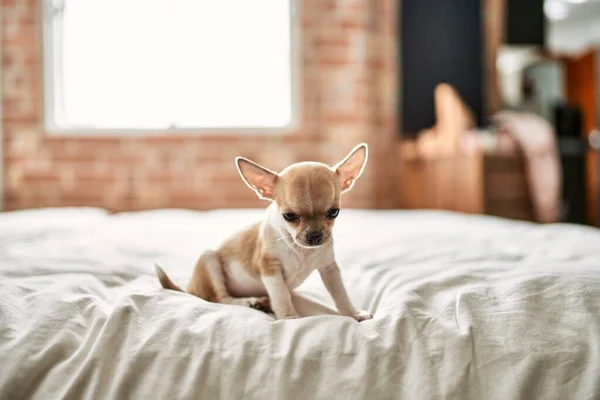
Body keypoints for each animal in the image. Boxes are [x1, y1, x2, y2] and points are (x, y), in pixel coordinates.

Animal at [155, 144, 370, 322]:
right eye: (289, 216)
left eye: (334, 212)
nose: (315, 236)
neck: (301, 251)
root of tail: (189, 288)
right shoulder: (270, 268)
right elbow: (281, 294)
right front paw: (289, 316)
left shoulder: (329, 268)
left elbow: (340, 293)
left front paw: (353, 313)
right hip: (209, 260)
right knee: (219, 297)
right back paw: (248, 301)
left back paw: (263, 302)